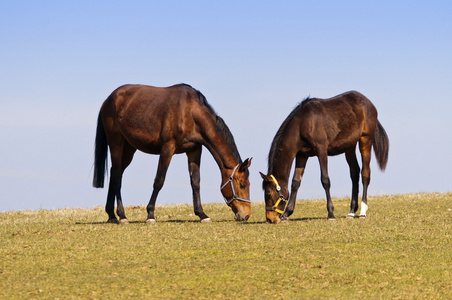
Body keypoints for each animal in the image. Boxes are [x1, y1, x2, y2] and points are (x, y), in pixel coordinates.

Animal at [93, 83, 252, 224]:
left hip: (129, 148)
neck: (190, 112)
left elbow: (195, 182)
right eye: (242, 185)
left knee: (115, 173)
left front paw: (202, 214)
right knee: (117, 176)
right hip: (116, 143)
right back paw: (122, 215)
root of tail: (108, 100)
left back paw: (111, 215)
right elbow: (159, 180)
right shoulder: (167, 148)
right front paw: (150, 214)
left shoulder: (194, 150)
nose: (246, 215)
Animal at [262, 91, 388, 223]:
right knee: (354, 173)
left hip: (365, 140)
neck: (303, 123)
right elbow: (295, 182)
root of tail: (369, 103)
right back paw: (352, 211)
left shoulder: (321, 150)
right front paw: (287, 213)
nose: (270, 219)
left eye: (268, 194)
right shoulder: (302, 155)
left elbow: (325, 180)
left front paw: (331, 213)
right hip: (350, 146)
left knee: (365, 173)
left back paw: (363, 211)